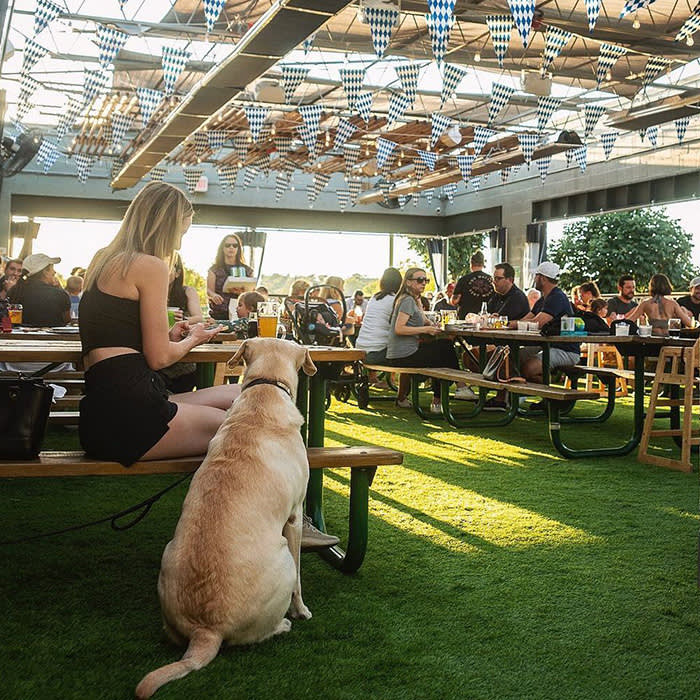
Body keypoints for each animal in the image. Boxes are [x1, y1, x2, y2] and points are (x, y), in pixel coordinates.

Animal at [137, 336, 318, 696]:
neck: (265, 389)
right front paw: (302, 610)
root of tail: (205, 631)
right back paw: (283, 624)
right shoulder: (294, 517)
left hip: (168, 554)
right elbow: (300, 581)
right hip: (282, 558)